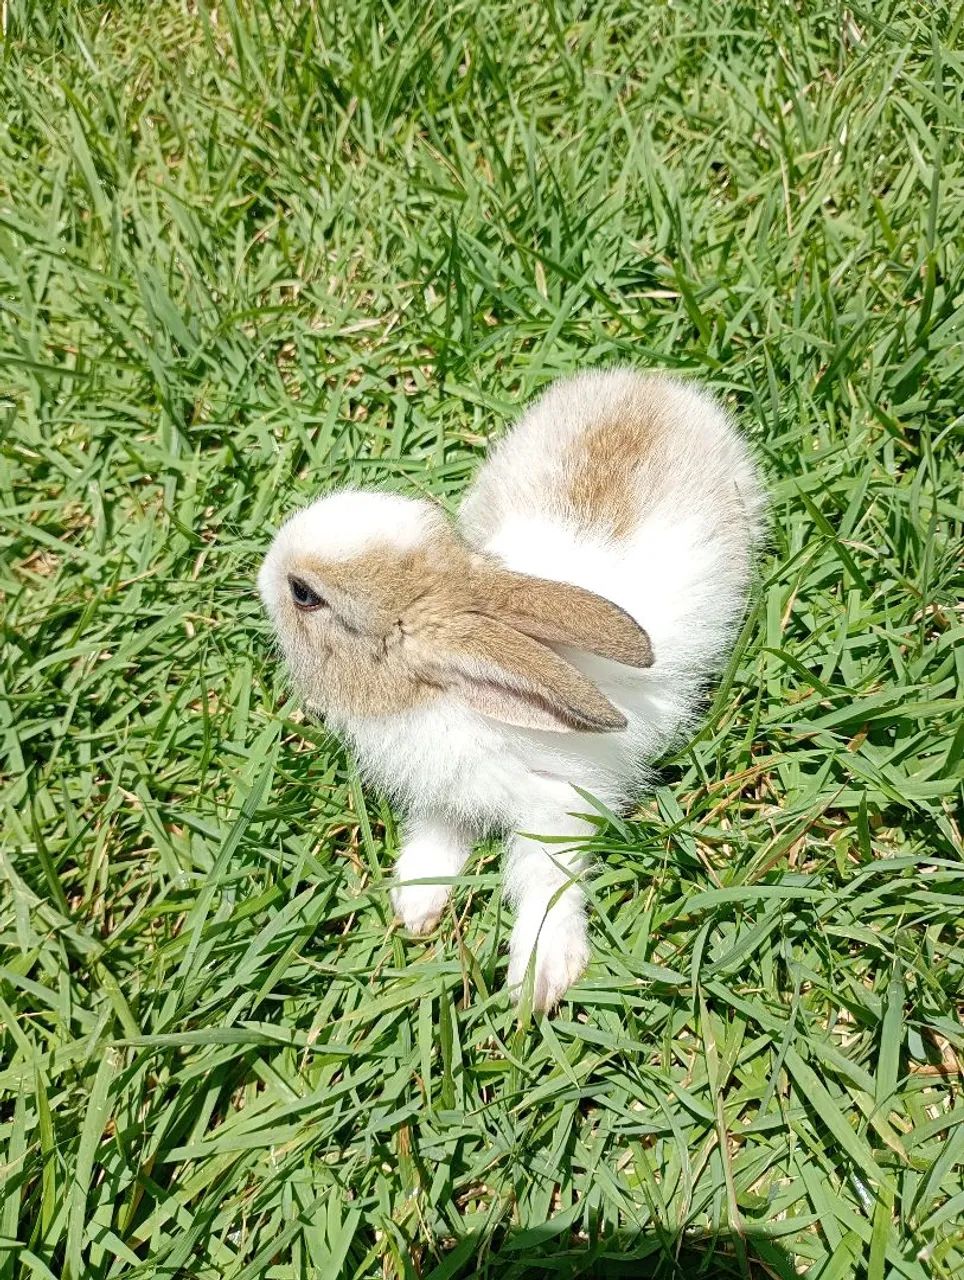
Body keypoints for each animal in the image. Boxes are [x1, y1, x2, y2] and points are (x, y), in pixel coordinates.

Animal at [258, 368, 766, 1011]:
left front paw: (540, 978)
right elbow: (439, 836)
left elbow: (546, 882)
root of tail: (655, 387)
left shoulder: (557, 807)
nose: (266, 567)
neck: (447, 693)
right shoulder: (446, 795)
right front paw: (416, 903)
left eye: (304, 594)